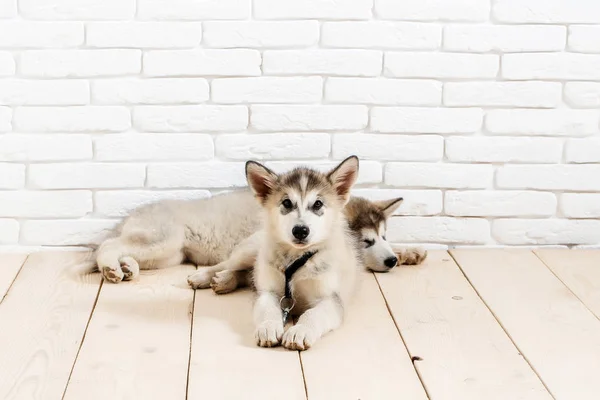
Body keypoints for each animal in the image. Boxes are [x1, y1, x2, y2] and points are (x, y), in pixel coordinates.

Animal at [246, 156, 364, 350]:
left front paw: (300, 330)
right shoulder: (267, 292)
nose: (300, 230)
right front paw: (268, 326)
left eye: (318, 204)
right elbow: (268, 309)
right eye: (287, 203)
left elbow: (313, 314)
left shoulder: (331, 298)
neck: (297, 260)